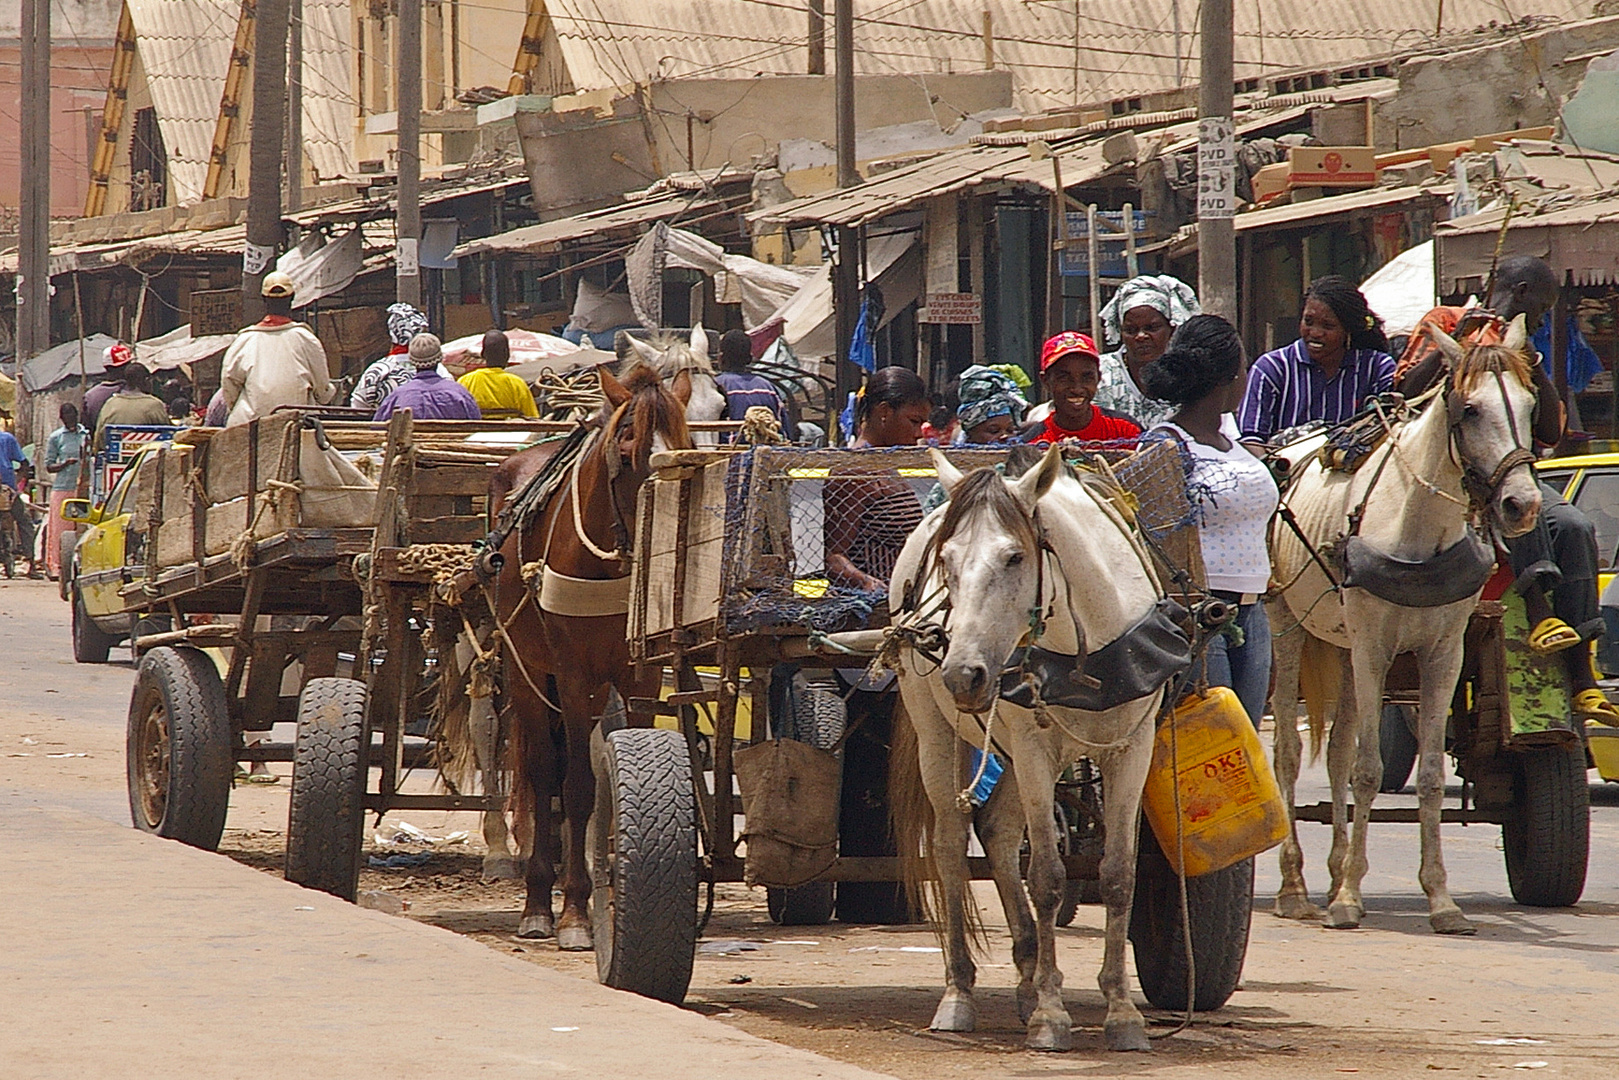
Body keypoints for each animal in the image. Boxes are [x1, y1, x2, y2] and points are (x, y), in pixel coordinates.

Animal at [492, 361, 696, 945]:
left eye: (686, 449)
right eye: (627, 450)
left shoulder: (640, 674)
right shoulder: (568, 668)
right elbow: (577, 784)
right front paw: (576, 912)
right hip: (527, 668)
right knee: (544, 772)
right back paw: (539, 902)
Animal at [893, 443, 1172, 1049]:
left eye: (1014, 557)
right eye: (947, 562)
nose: (963, 675)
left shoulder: (1133, 747)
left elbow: (1119, 875)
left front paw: (1122, 1013)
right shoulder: (1034, 750)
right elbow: (1046, 877)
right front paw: (1051, 1015)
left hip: (1010, 754)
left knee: (998, 837)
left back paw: (1025, 972)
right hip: (939, 736)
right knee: (952, 847)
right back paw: (960, 993)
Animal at [1269, 317, 1534, 932]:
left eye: (1532, 405)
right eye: (1470, 410)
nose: (1522, 504)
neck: (1416, 524)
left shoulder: (1443, 654)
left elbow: (1430, 774)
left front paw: (1440, 900)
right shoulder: (1374, 649)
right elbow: (1368, 770)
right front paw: (1348, 900)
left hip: (1342, 645)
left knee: (1336, 754)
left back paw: (1336, 871)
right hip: (1288, 626)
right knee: (1289, 756)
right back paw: (1296, 889)